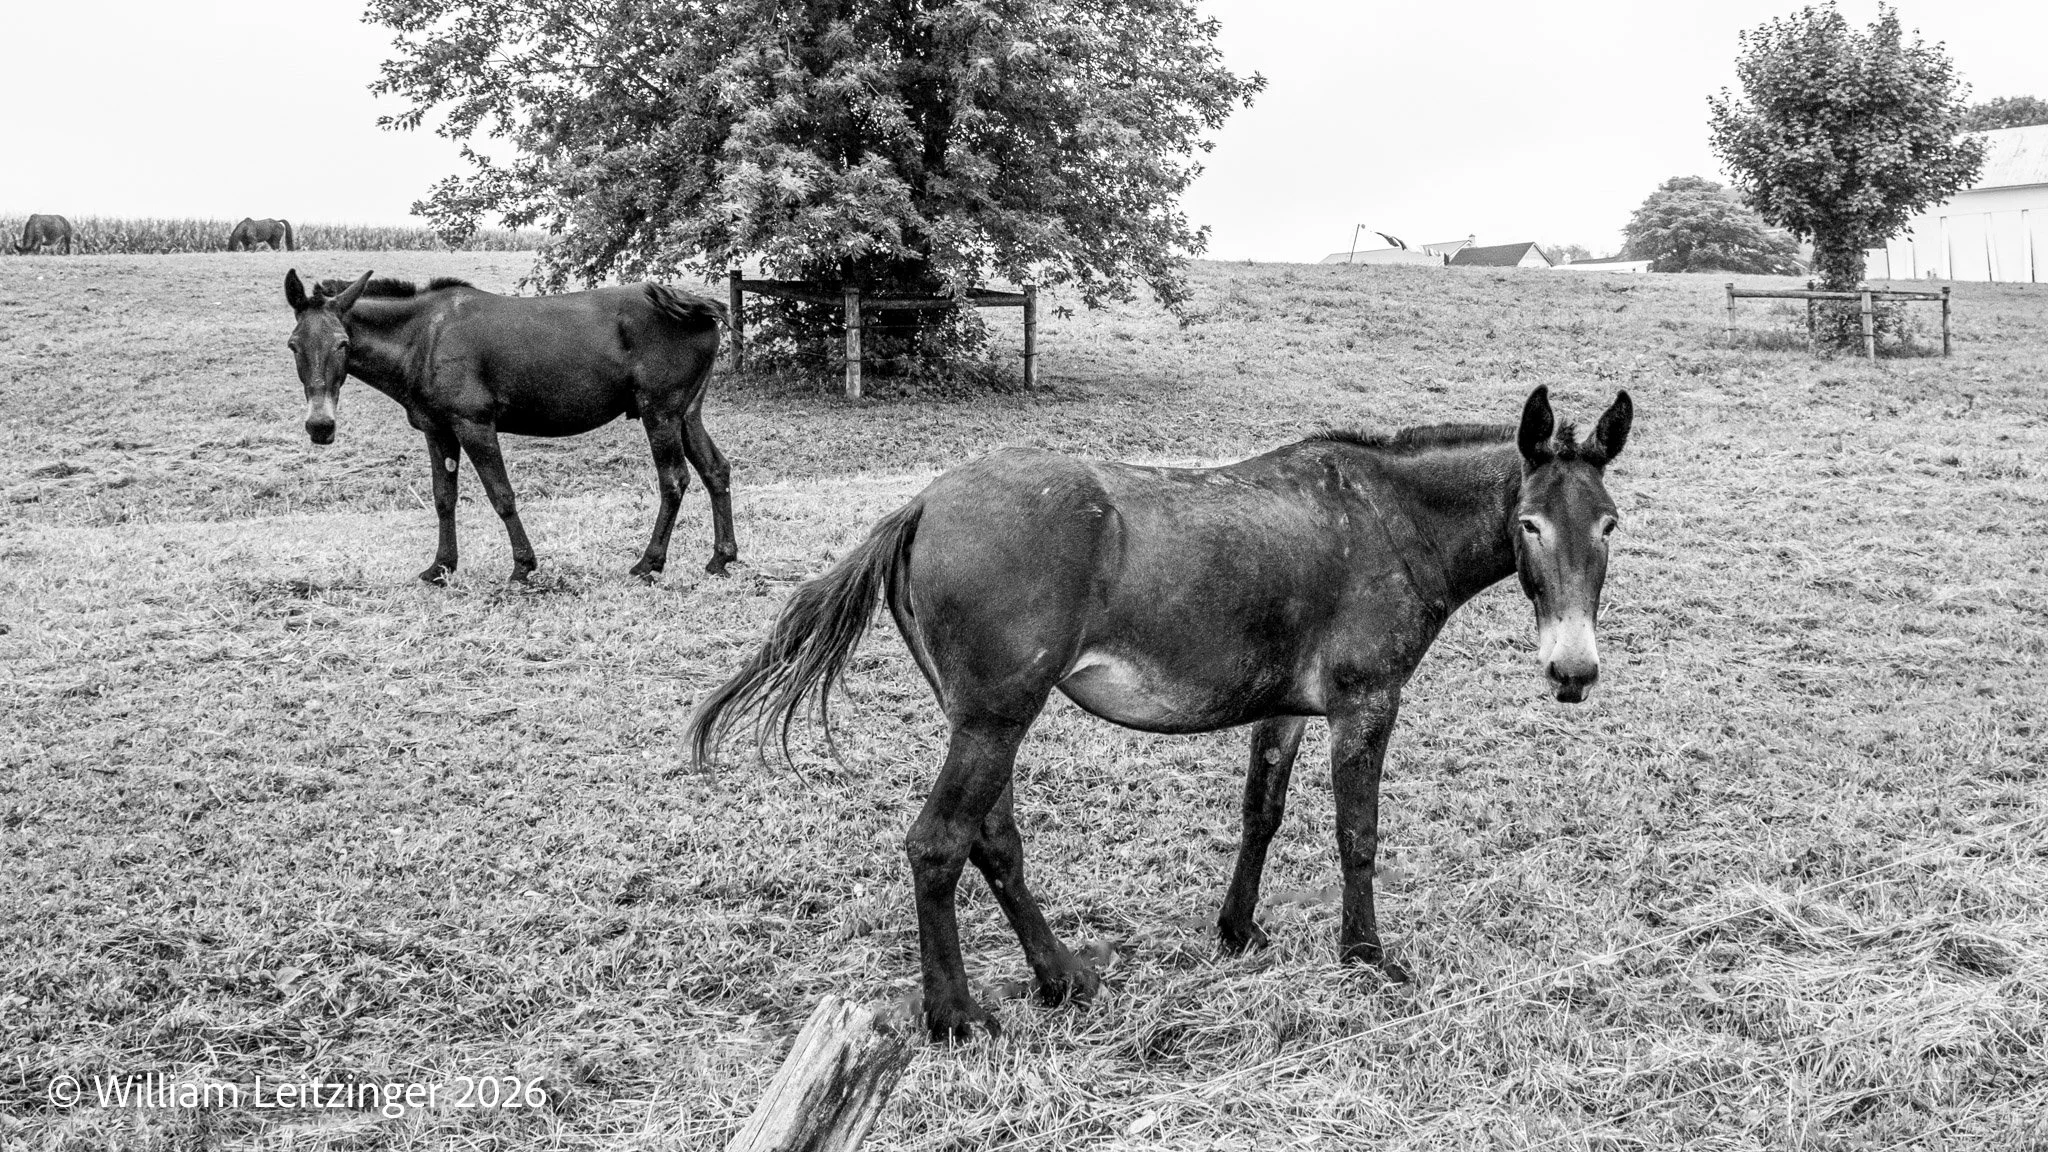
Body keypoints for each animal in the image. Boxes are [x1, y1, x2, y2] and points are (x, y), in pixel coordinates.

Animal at [282, 269, 738, 583]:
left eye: (342, 343)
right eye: (293, 345)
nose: (320, 426)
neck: (423, 338)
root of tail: (698, 309)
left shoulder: (474, 424)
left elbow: (501, 495)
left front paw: (523, 565)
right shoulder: (437, 429)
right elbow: (443, 498)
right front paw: (441, 566)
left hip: (659, 413)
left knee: (674, 479)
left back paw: (649, 562)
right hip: (686, 414)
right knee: (716, 470)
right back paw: (722, 556)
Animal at [690, 386, 1632, 1041]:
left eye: (1610, 525)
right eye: (1529, 523)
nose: (1573, 670)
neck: (1385, 519)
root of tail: (924, 502)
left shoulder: (1287, 710)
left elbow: (1262, 814)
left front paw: (1238, 930)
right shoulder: (1365, 703)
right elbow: (1357, 835)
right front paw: (1365, 957)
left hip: (986, 722)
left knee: (993, 842)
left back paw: (1061, 977)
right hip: (996, 719)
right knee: (939, 844)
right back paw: (957, 1016)